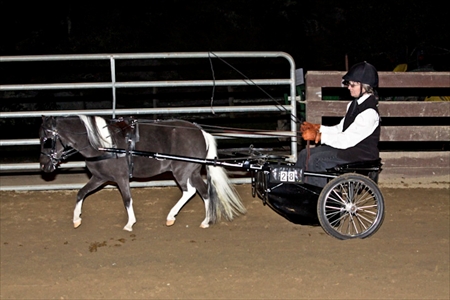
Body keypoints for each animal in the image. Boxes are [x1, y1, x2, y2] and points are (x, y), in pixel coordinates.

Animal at [38, 114, 246, 230]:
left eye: (47, 139)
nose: (44, 166)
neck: (104, 144)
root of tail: (201, 132)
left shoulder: (120, 177)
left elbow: (127, 199)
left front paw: (130, 224)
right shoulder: (99, 177)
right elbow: (81, 193)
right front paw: (76, 219)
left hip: (182, 170)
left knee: (190, 191)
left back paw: (171, 216)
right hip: (192, 171)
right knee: (204, 191)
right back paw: (206, 220)